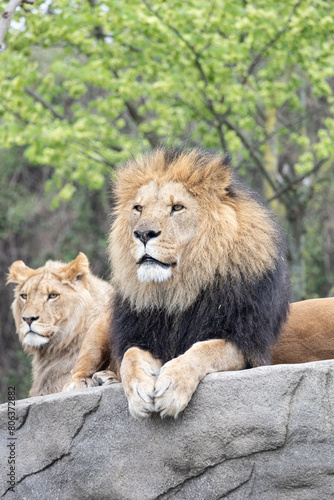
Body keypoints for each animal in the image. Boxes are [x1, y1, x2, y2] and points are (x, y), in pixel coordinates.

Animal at [64, 147, 290, 418]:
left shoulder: (245, 343)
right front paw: (138, 390)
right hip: (100, 328)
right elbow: (130, 356)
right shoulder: (143, 335)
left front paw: (172, 386)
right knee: (81, 365)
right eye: (138, 208)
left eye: (177, 207)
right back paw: (82, 383)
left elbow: (203, 350)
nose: (143, 233)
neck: (178, 289)